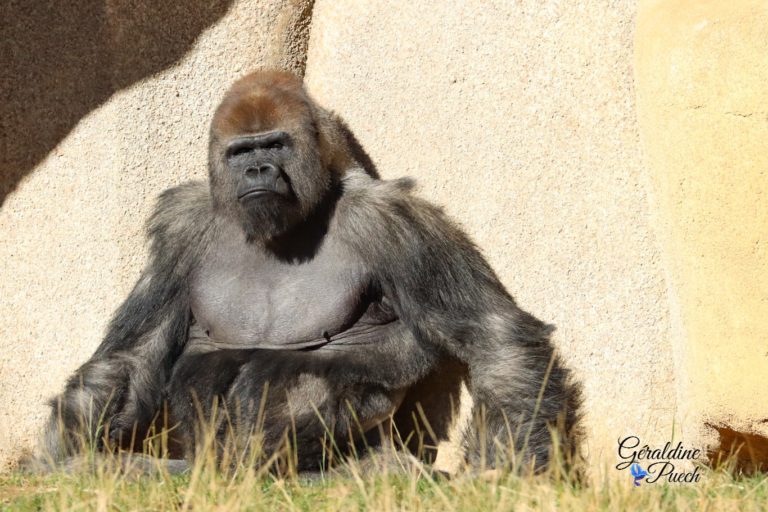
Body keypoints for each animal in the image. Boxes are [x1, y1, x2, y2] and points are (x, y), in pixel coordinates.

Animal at [40, 70, 584, 474]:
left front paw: (508, 474)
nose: (257, 171)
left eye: (275, 146)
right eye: (242, 152)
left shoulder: (391, 219)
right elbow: (132, 358)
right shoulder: (180, 227)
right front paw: (60, 452)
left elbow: (493, 337)